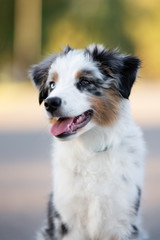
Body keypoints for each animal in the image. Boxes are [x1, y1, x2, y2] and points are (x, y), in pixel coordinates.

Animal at [29, 44, 146, 239]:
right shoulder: (68, 222)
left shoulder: (121, 220)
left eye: (84, 82)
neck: (91, 149)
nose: (50, 103)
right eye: (52, 85)